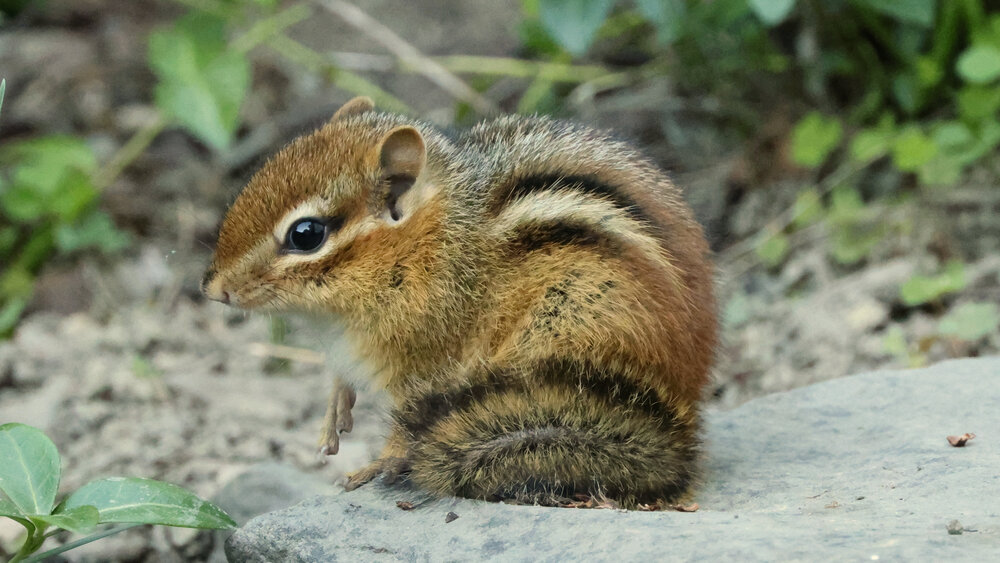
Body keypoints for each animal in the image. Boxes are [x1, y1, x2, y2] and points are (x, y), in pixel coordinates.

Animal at [203, 97, 717, 508]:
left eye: (306, 234)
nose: (212, 288)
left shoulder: (425, 364)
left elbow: (404, 427)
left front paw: (379, 464)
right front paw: (334, 409)